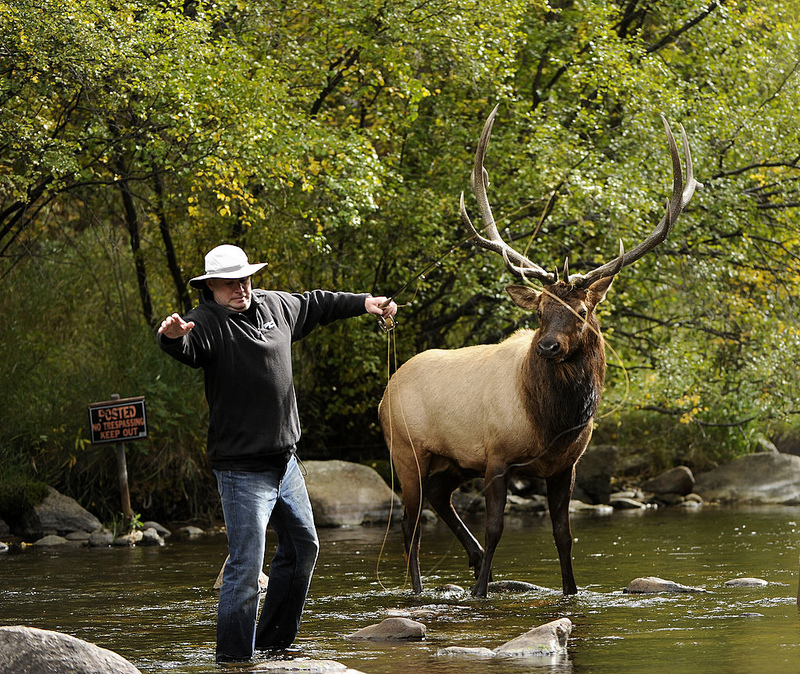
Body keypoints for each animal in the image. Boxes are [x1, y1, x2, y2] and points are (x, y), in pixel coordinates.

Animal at [378, 105, 696, 592]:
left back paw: (470, 560)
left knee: (436, 497)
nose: (547, 346)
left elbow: (564, 536)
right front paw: (481, 591)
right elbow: (496, 528)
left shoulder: (565, 466)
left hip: (454, 460)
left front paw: (570, 590)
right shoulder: (496, 456)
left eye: (581, 309)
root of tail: (384, 394)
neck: (551, 422)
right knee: (408, 525)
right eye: (542, 310)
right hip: (406, 450)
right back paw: (421, 588)